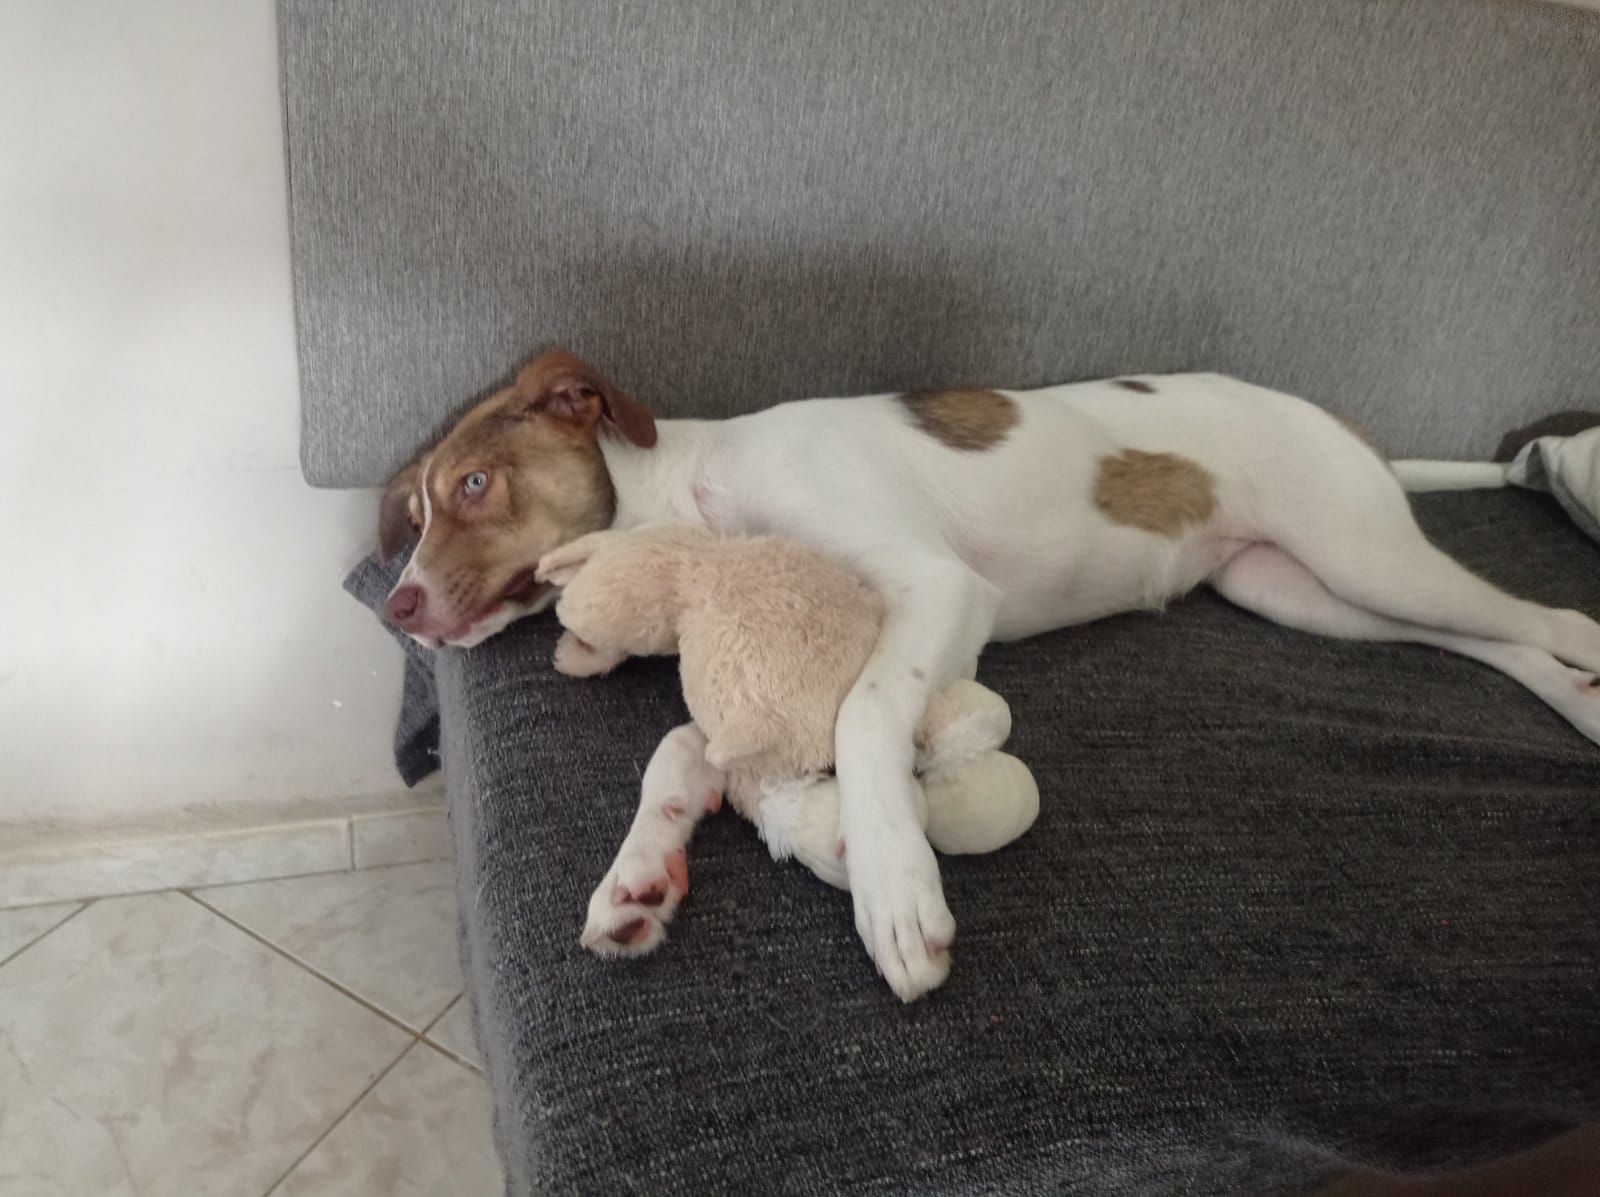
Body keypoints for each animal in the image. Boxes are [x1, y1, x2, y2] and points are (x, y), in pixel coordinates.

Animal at [380, 349, 1600, 1002]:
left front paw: (894, 891)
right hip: (1296, 591)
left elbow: (864, 716)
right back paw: (1577, 699)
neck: (698, 493)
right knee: (1488, 642)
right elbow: (687, 747)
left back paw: (1586, 667)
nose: (396, 607)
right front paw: (640, 874)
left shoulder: (935, 588)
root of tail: (1338, 421)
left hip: (1357, 552)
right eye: (414, 510)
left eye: (475, 484)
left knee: (1537, 614)